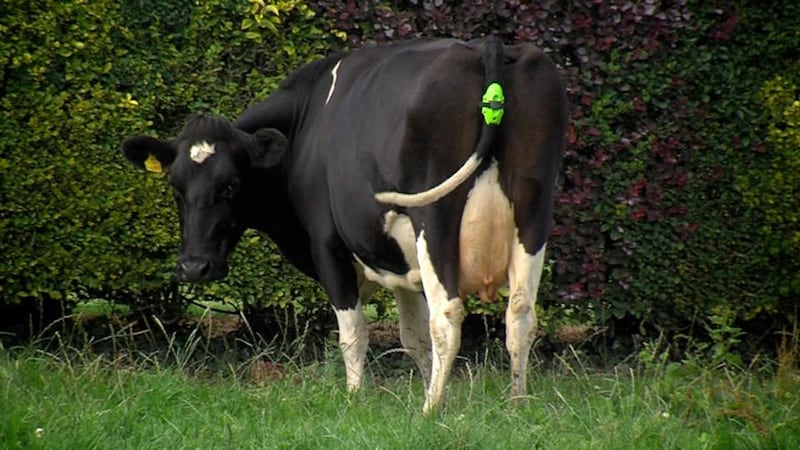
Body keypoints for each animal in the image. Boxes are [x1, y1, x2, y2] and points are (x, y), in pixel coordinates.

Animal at [121, 36, 567, 413]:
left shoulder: (328, 246)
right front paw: (430, 388)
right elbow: (412, 336)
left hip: (436, 217)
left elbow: (353, 333)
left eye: (231, 186)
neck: (307, 122)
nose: (194, 266)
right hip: (533, 212)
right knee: (520, 311)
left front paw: (357, 398)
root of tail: (486, 47)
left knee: (448, 315)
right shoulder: (395, 259)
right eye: (176, 188)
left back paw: (430, 411)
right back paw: (516, 404)